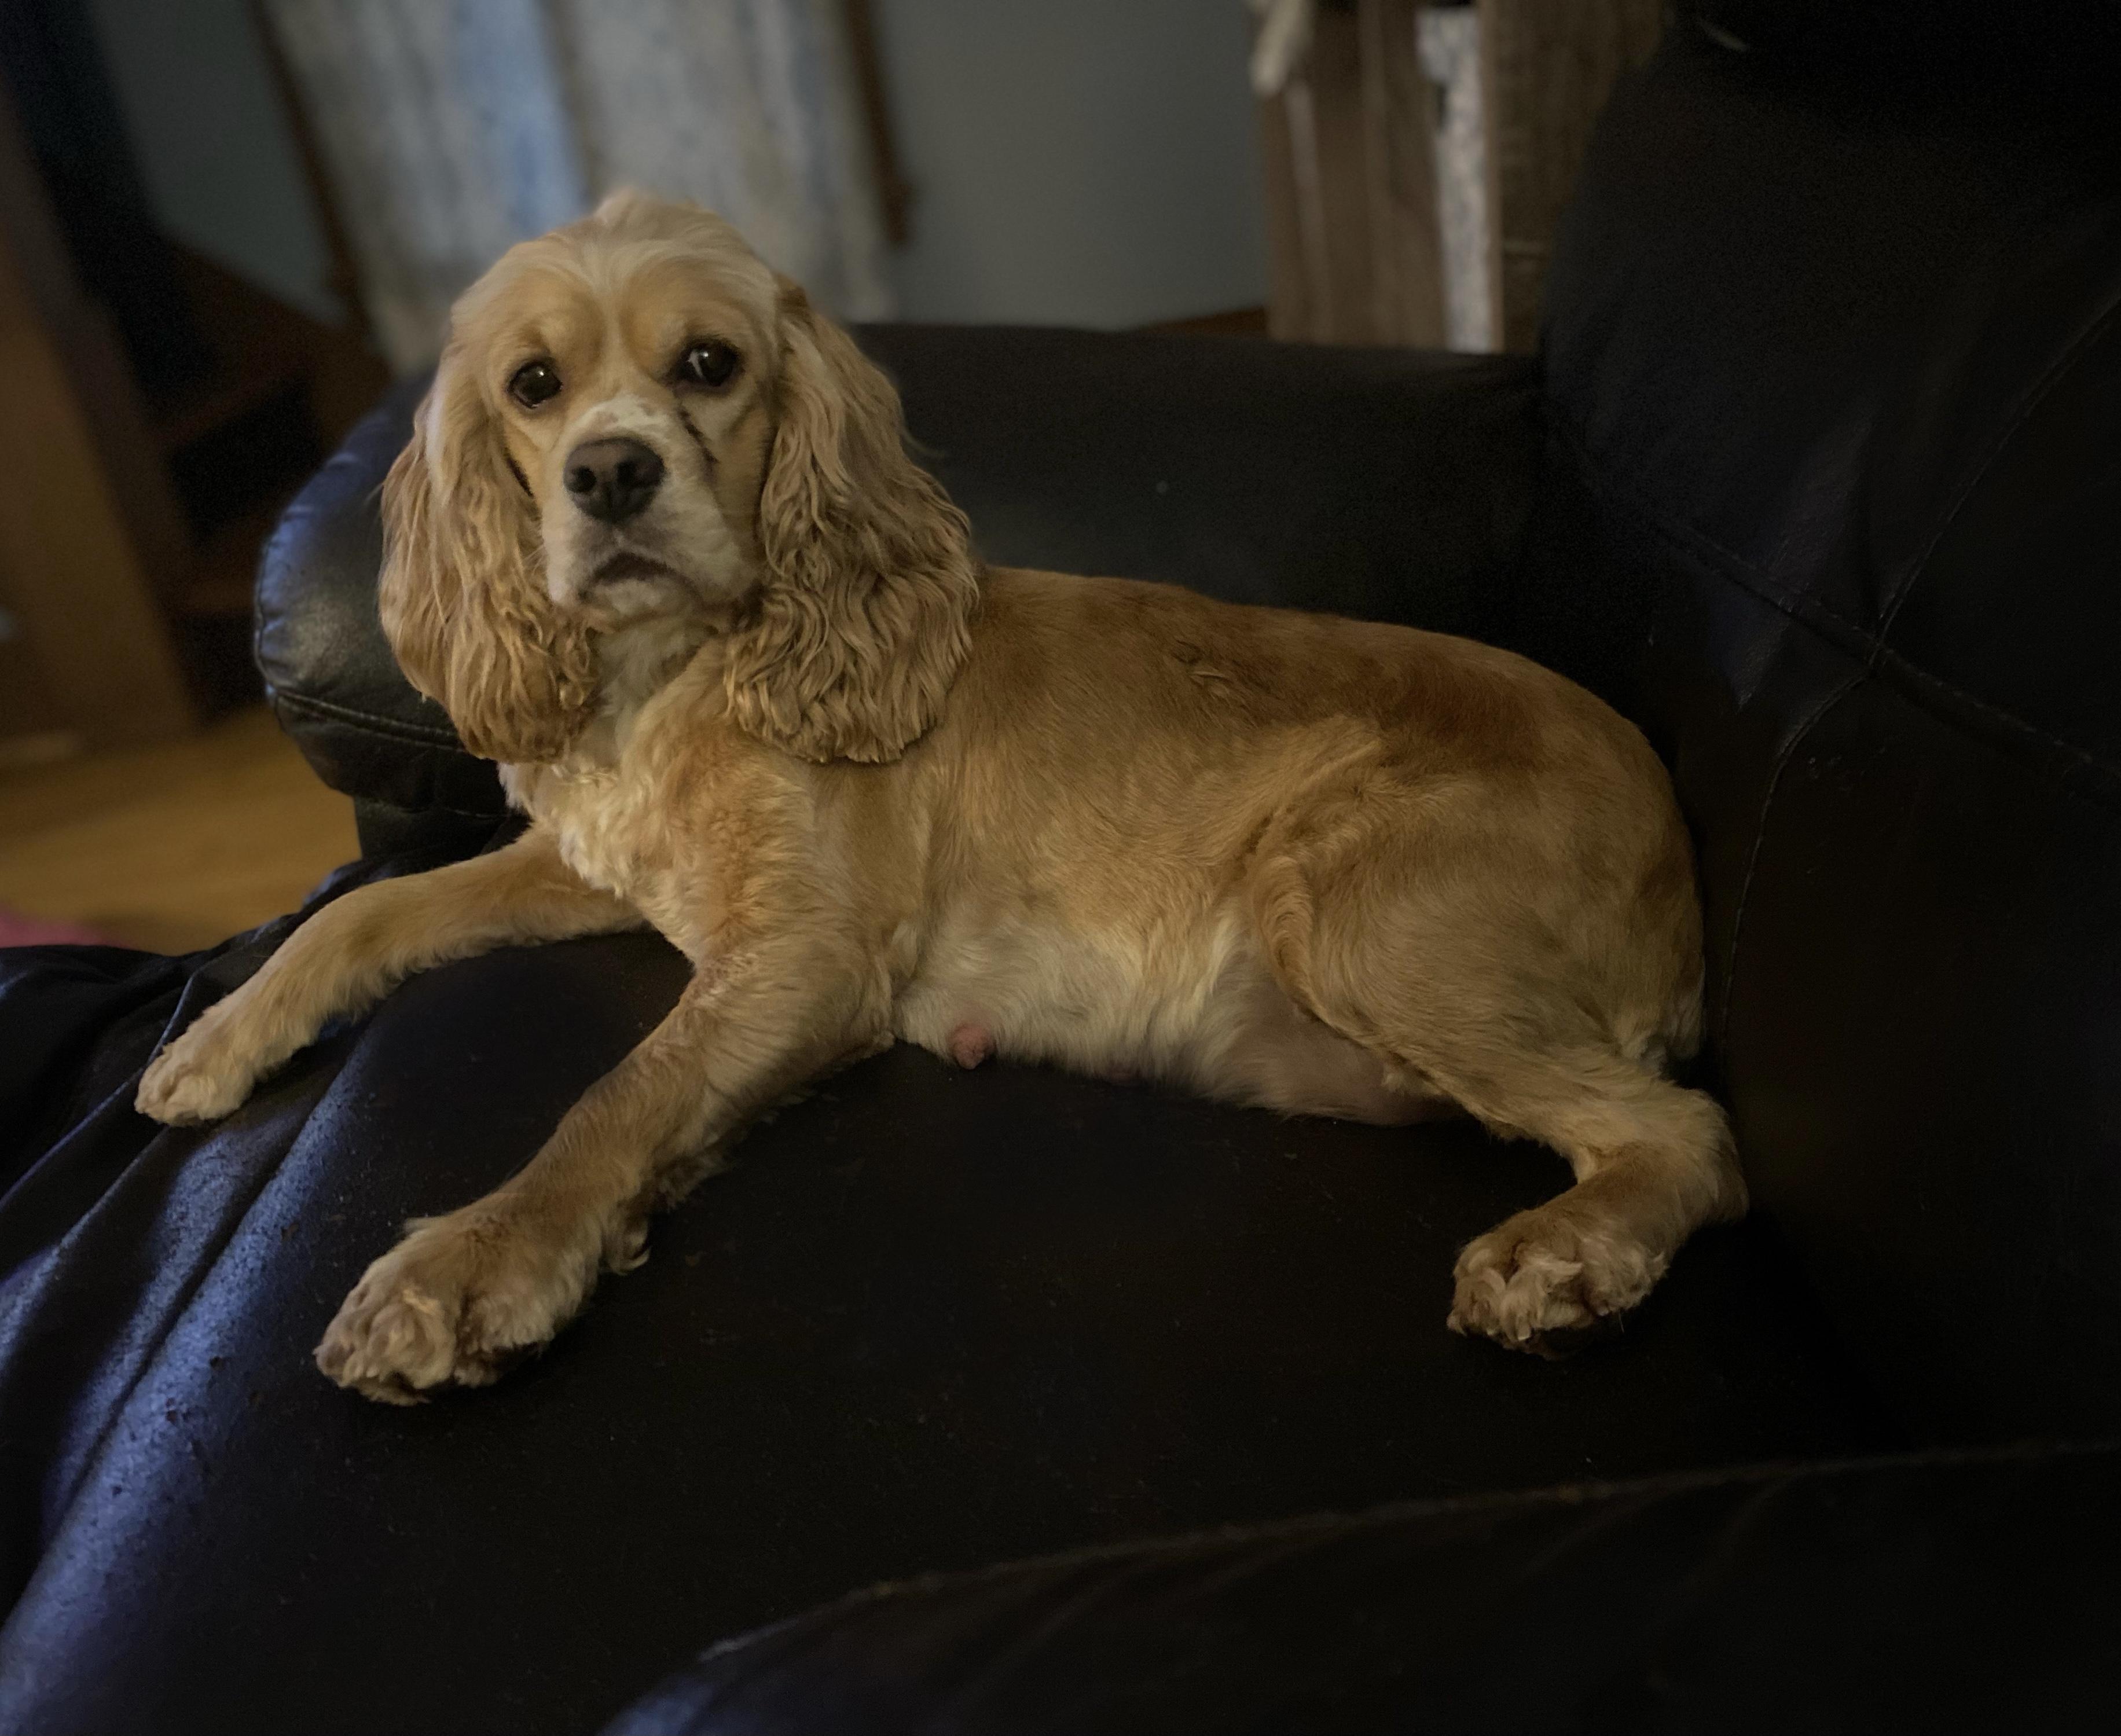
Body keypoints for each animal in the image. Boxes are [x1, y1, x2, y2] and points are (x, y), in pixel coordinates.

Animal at [137, 191, 1746, 1404]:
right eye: (534, 388)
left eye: (709, 363)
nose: (610, 474)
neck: (681, 673)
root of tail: (1672, 845)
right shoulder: (591, 869)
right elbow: (372, 910)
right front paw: (219, 1034)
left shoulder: (803, 958)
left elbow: (622, 1088)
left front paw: (468, 1262)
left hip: (1352, 905)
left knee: (1688, 1133)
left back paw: (1563, 1253)